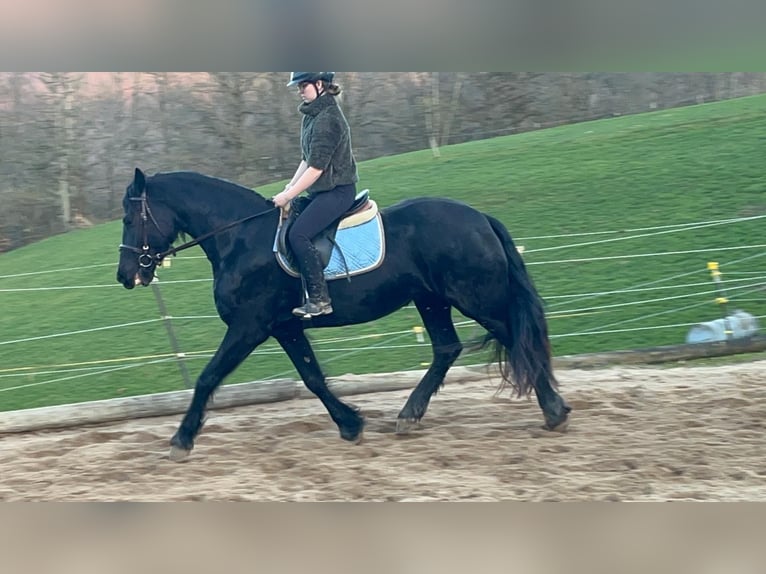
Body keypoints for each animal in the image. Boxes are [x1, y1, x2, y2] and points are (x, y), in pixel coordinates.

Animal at [116, 168, 570, 461]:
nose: (125, 276)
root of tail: (480, 218)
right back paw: (409, 416)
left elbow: (208, 377)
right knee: (446, 349)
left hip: (476, 299)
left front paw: (181, 440)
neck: (241, 238)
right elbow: (313, 378)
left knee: (517, 339)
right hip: (431, 299)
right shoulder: (284, 327)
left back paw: (554, 411)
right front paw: (351, 424)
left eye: (128, 217)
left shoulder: (250, 326)